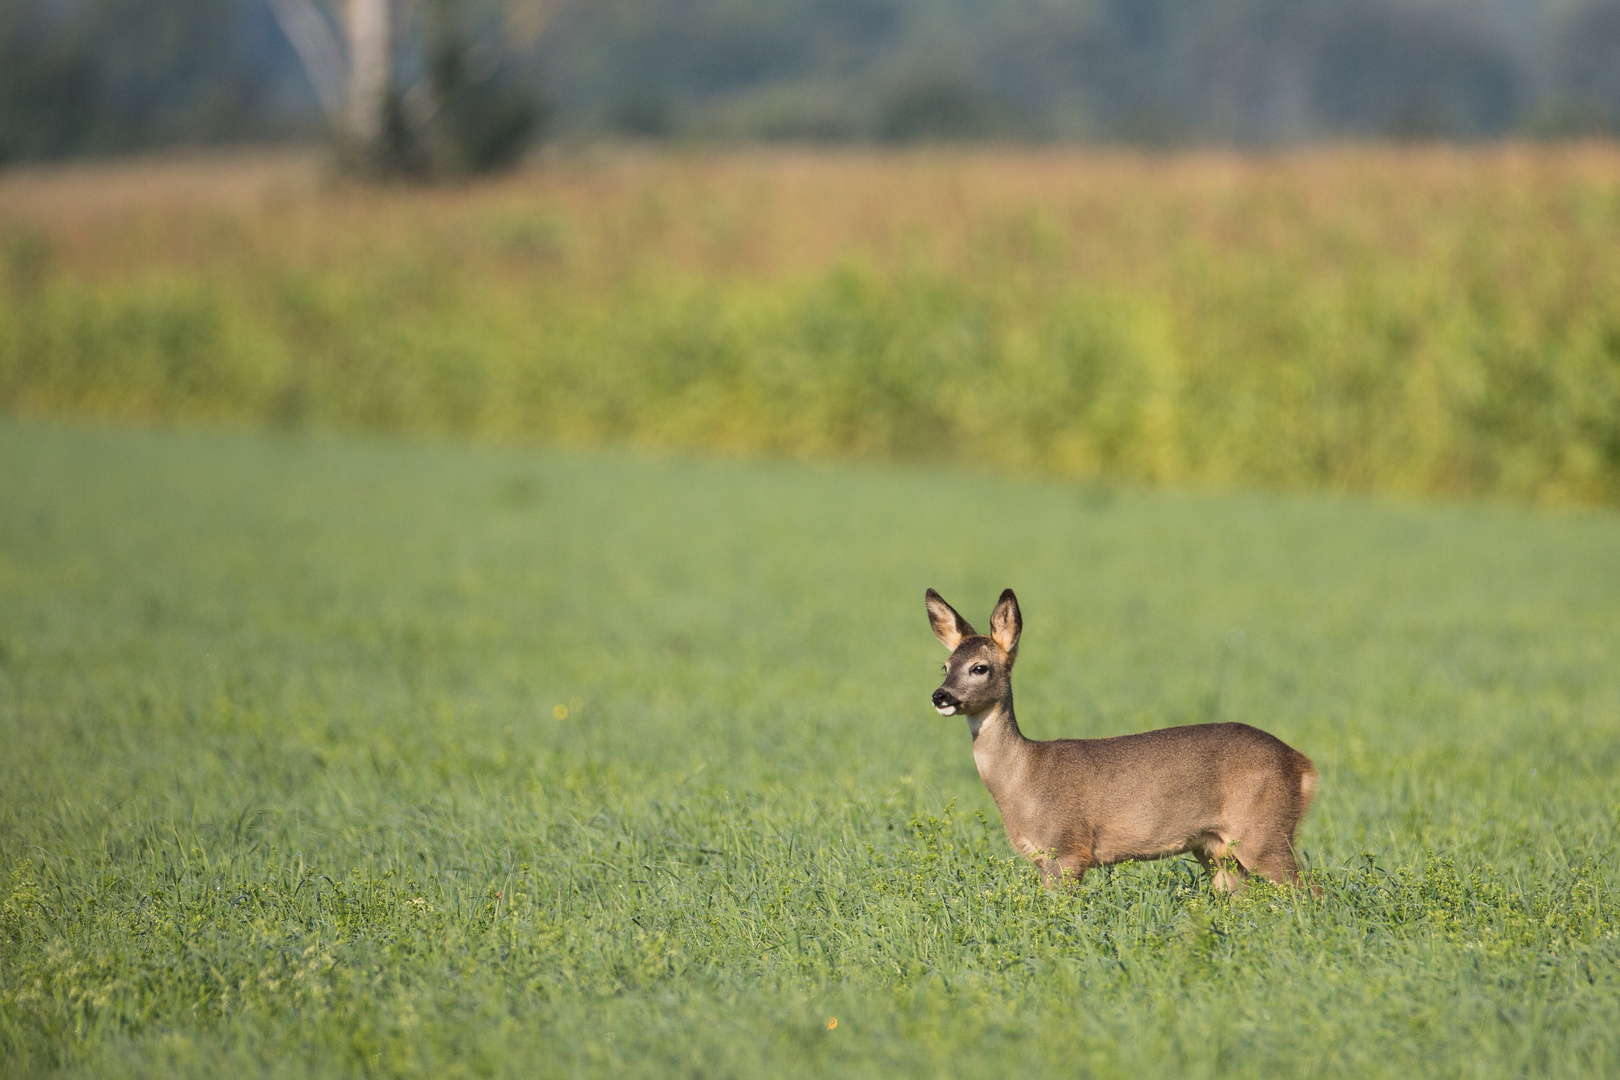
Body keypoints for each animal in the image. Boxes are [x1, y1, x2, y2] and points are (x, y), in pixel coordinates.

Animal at [926, 586, 1315, 893]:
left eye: (980, 667)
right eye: (945, 666)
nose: (940, 696)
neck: (1023, 778)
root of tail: (1303, 765)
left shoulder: (1067, 850)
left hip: (1264, 832)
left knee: (1311, 892)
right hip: (1217, 849)